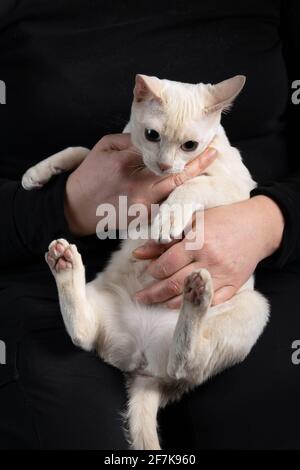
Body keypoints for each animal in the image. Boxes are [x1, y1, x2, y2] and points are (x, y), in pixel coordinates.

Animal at [21, 75, 270, 450]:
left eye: (190, 145)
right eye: (152, 135)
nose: (165, 166)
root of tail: (144, 369)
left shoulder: (234, 185)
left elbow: (192, 185)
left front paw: (169, 218)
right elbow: (80, 151)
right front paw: (37, 172)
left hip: (255, 308)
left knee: (187, 362)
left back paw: (197, 294)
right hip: (102, 306)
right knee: (84, 335)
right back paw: (65, 262)